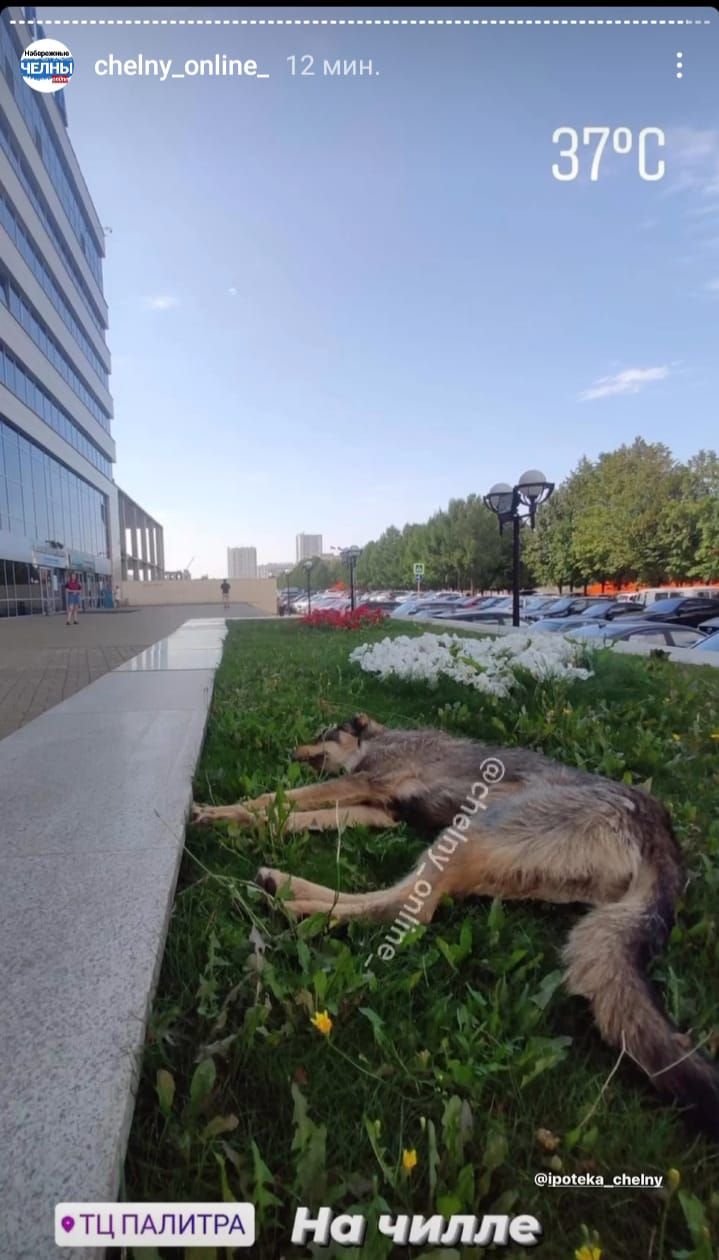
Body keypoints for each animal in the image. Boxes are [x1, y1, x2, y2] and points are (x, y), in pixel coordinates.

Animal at [191, 715, 719, 1139]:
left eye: (323, 735)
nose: (292, 752)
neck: (378, 739)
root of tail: (662, 829)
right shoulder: (377, 810)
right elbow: (295, 814)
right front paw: (255, 824)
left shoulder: (368, 782)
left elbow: (277, 798)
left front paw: (220, 813)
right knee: (411, 906)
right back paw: (286, 890)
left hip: (474, 830)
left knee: (411, 909)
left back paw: (290, 899)